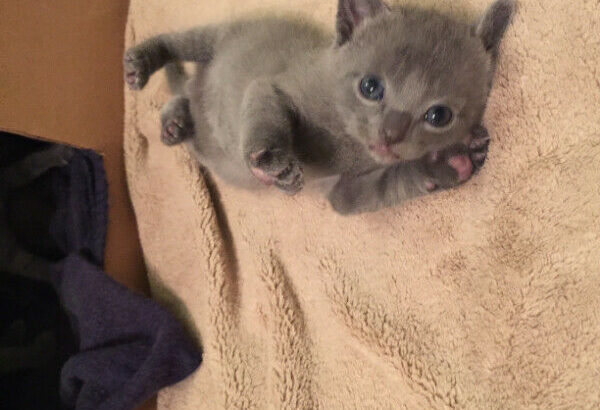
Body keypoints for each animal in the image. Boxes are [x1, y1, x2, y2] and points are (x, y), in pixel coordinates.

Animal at [124, 0, 512, 216]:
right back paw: (143, 63)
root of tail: (198, 83)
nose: (390, 134)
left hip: (209, 149)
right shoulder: (274, 84)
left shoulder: (343, 192)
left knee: (188, 111)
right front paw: (274, 162)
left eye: (438, 116)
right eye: (371, 87)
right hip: (218, 37)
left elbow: (387, 184)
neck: (349, 146)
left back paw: (176, 122)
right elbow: (266, 116)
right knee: (181, 43)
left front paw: (447, 165)